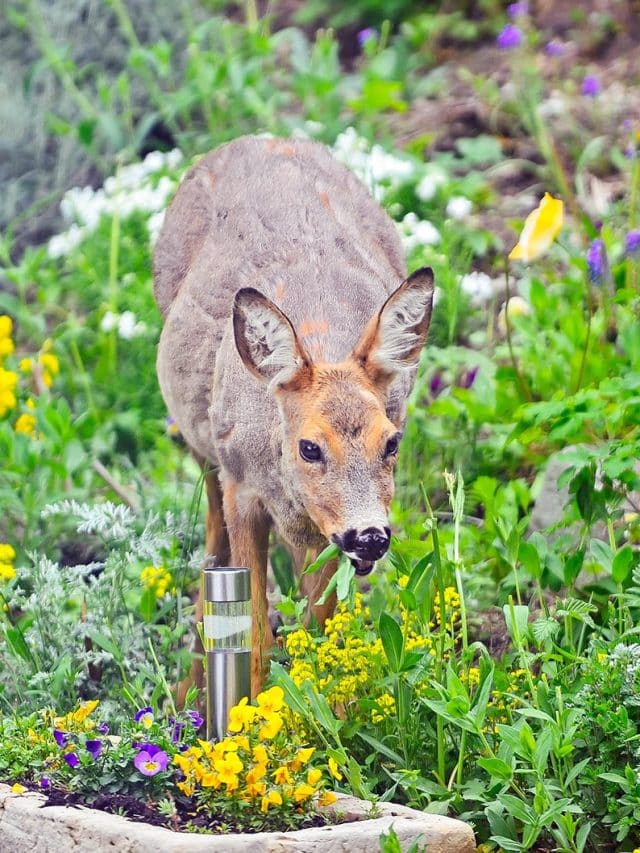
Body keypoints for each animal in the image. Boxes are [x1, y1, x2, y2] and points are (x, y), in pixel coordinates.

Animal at [154, 136, 436, 704]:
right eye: (310, 447)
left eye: (391, 443)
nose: (370, 536)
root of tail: (258, 138)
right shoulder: (242, 489)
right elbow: (255, 636)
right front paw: (247, 715)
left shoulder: (323, 530)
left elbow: (323, 628)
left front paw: (324, 712)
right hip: (202, 448)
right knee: (210, 542)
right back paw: (187, 688)